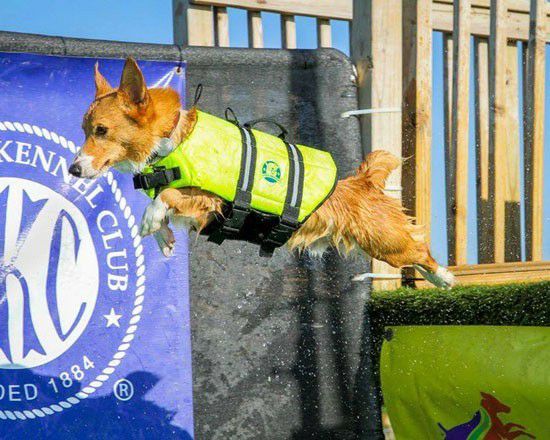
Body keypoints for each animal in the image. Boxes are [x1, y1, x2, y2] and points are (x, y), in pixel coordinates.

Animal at [69, 58, 455, 289]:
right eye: (85, 129)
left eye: (101, 130)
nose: (73, 169)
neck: (173, 141)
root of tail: (363, 182)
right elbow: (159, 209)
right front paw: (163, 237)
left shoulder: (211, 201)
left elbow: (167, 196)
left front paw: (153, 220)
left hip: (386, 243)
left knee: (420, 250)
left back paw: (445, 277)